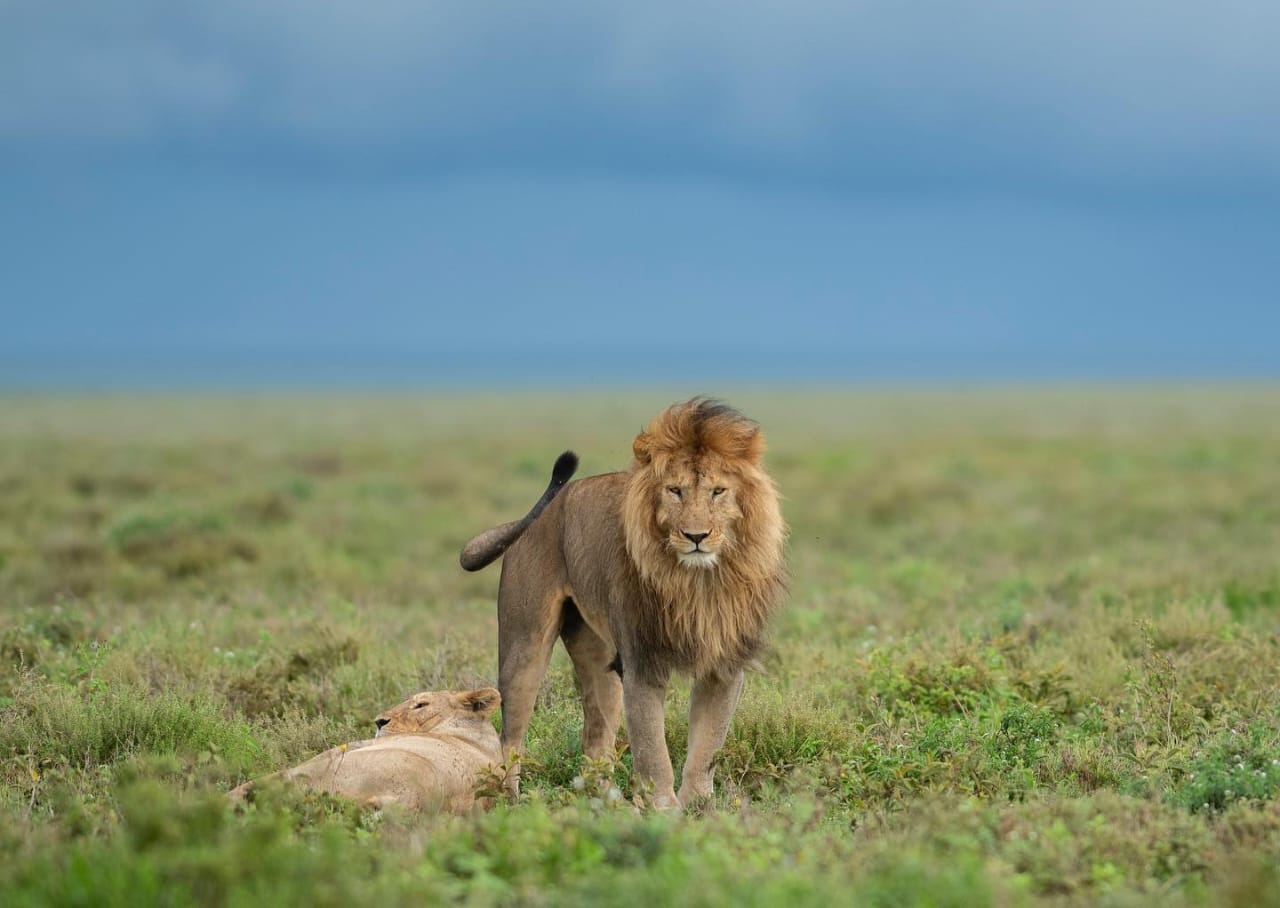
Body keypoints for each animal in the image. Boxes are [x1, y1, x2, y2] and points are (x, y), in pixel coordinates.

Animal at [460, 398, 786, 808]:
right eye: (674, 490)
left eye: (718, 491)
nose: (696, 536)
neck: (696, 582)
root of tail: (546, 508)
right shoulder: (642, 663)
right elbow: (652, 750)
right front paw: (664, 811)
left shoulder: (723, 666)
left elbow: (707, 745)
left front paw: (700, 808)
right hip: (524, 644)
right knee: (510, 735)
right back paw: (511, 804)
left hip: (598, 658)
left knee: (595, 740)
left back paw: (606, 805)